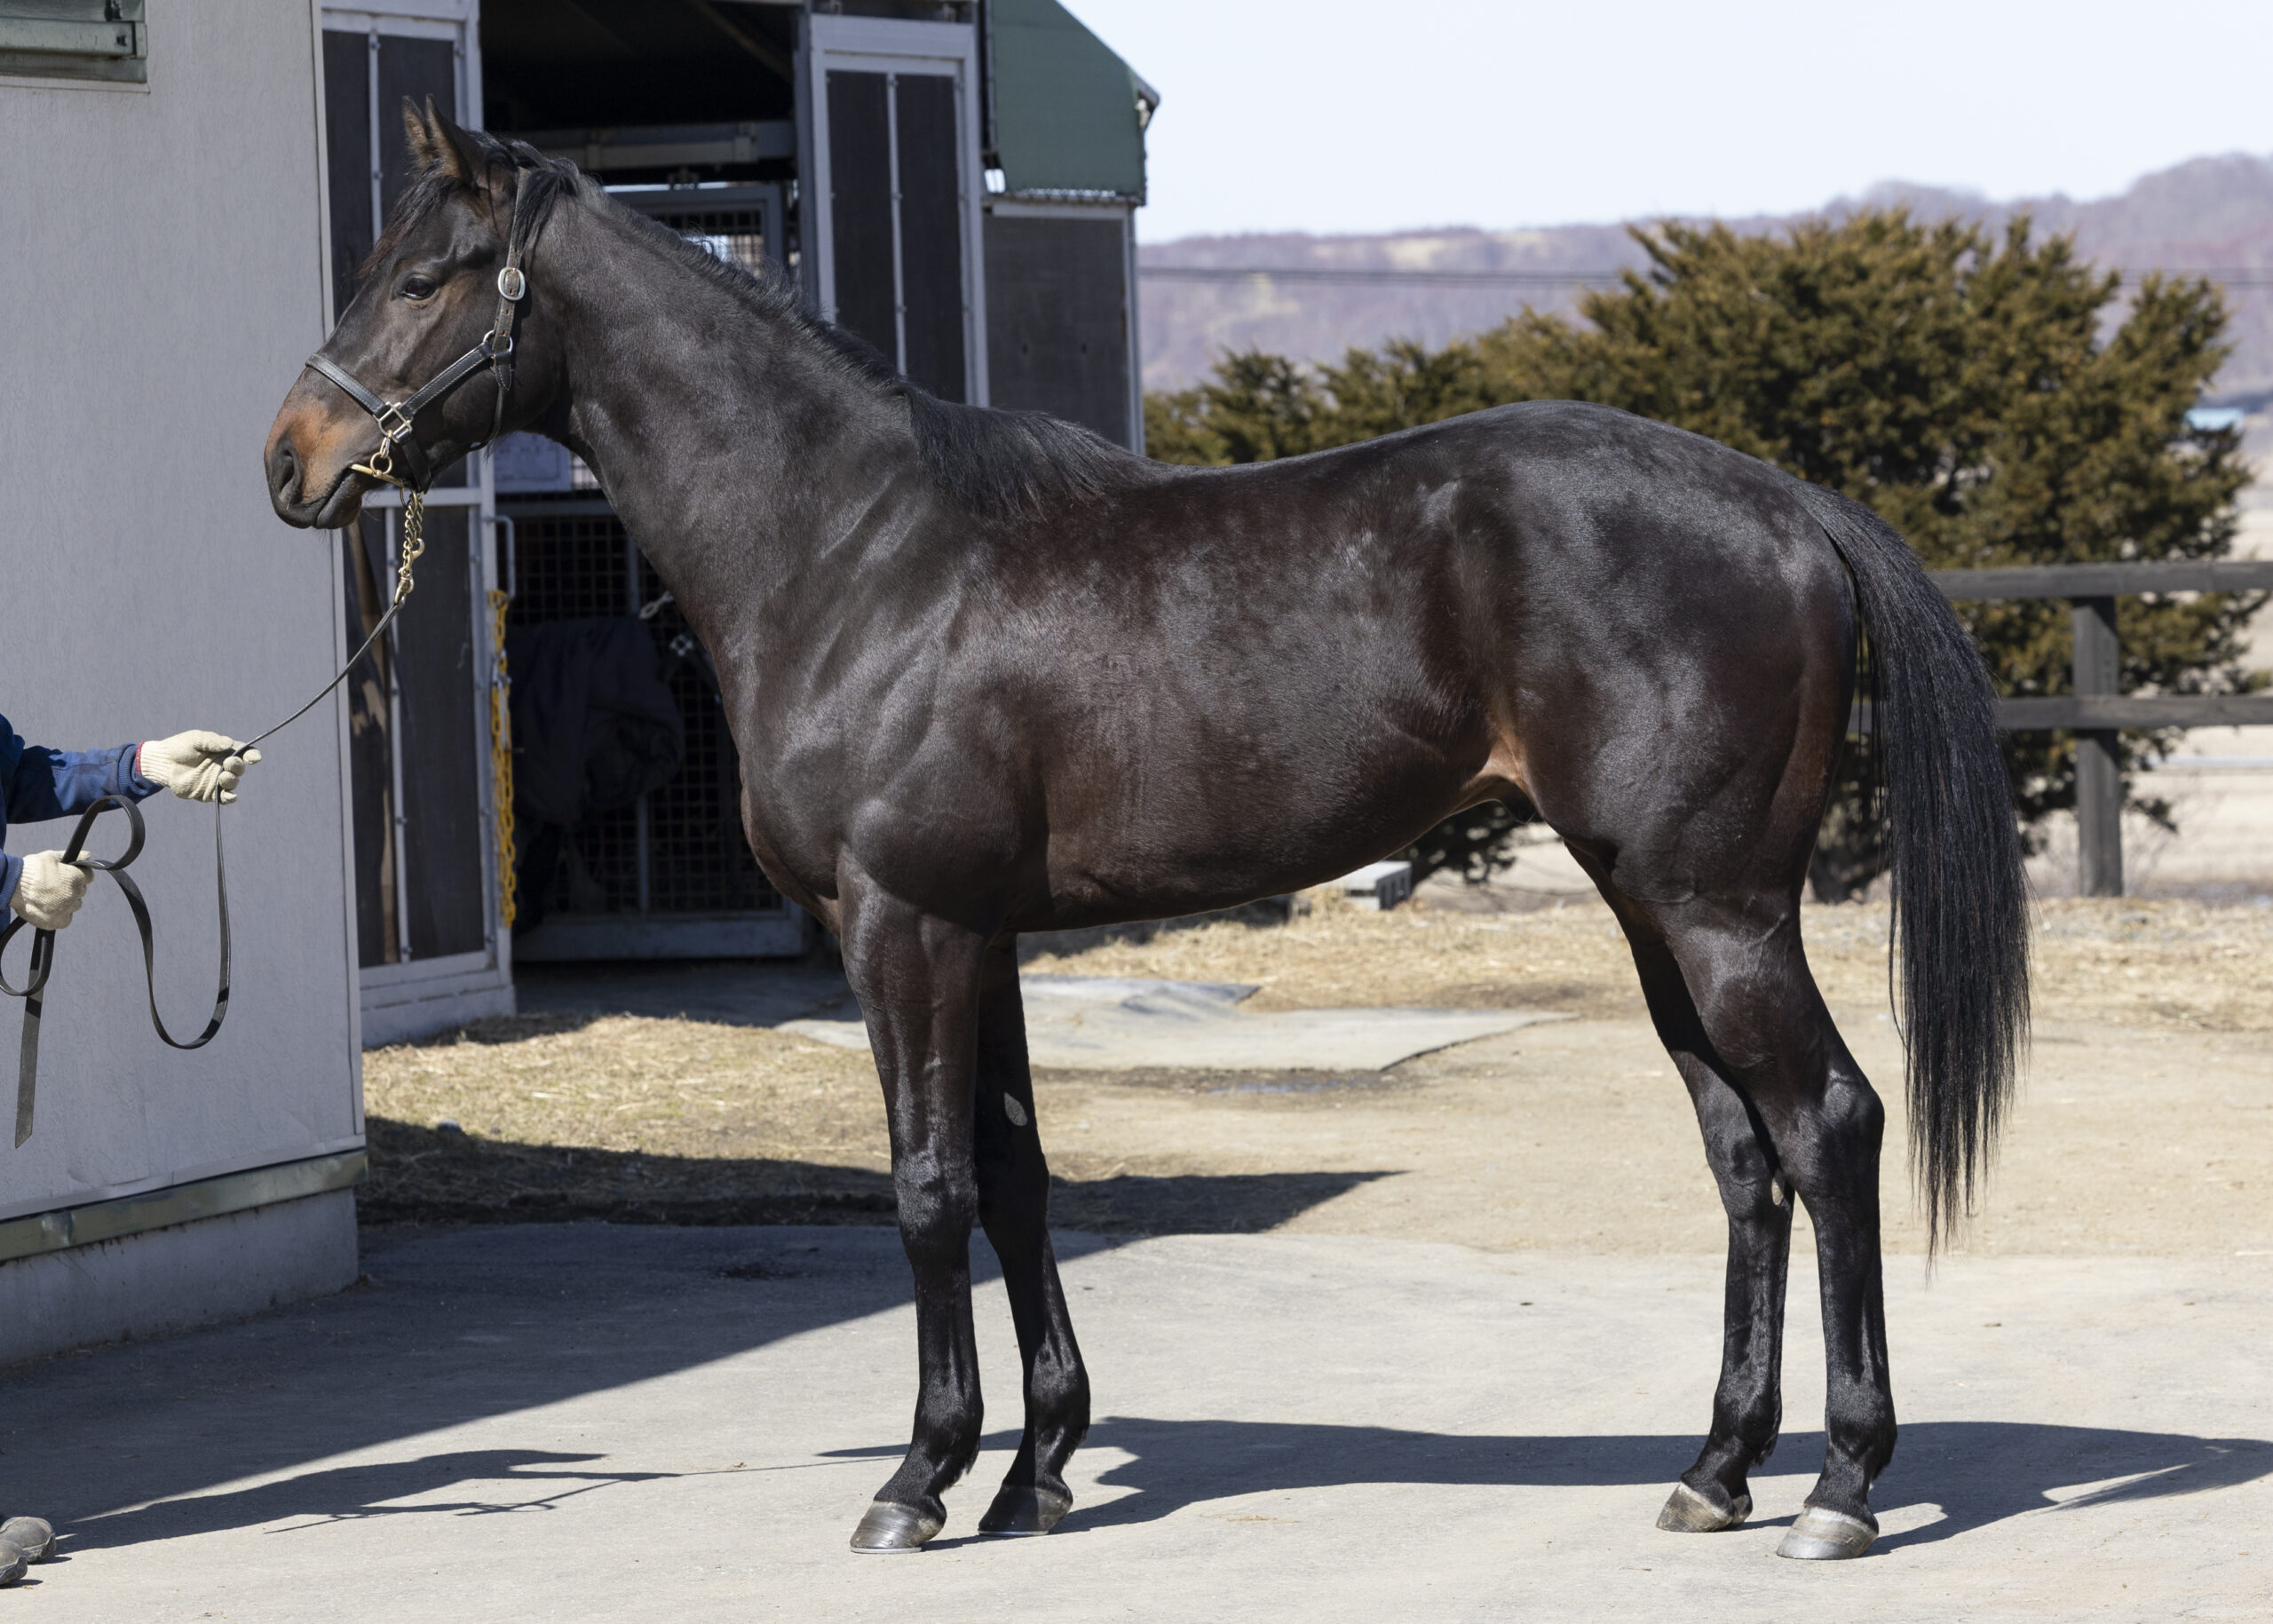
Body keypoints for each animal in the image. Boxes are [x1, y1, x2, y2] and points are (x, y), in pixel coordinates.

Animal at [265, 103, 2029, 1561]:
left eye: (425, 275)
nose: (292, 460)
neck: (857, 556)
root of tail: (1792, 507)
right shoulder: (979, 935)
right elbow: (1019, 1177)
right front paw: (1039, 1467)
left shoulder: (900, 923)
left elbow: (926, 1186)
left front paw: (920, 1479)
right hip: (1654, 906)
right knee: (1744, 1156)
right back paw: (1717, 1467)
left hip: (1717, 905)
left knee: (1830, 1125)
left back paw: (1842, 1485)